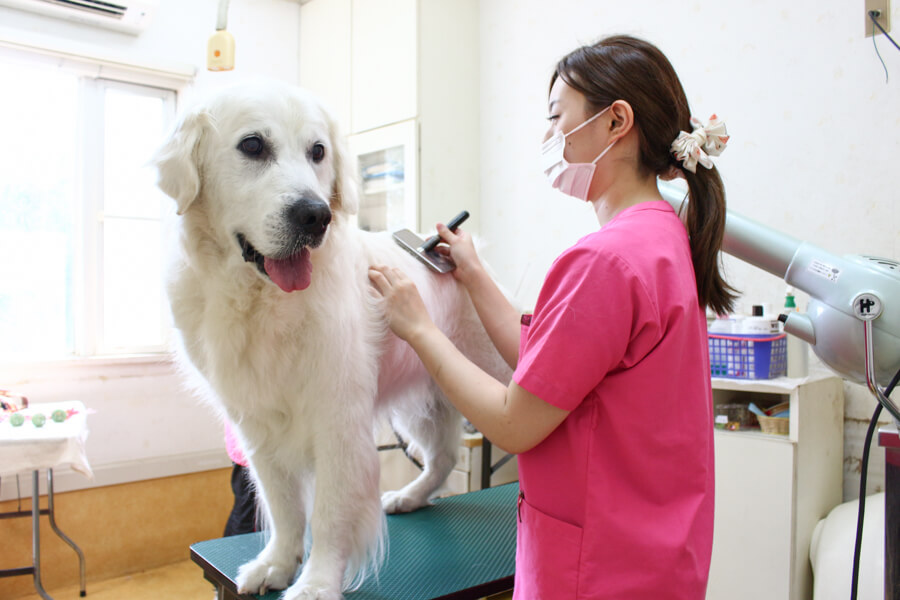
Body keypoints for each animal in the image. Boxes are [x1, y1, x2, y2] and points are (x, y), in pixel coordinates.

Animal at [151, 81, 510, 600]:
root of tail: (451, 247)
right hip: (429, 396)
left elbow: (328, 513)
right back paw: (410, 497)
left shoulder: (338, 422)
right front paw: (277, 563)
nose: (314, 215)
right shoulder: (258, 427)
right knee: (442, 457)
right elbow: (283, 506)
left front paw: (317, 582)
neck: (262, 301)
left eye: (317, 151)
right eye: (252, 146)